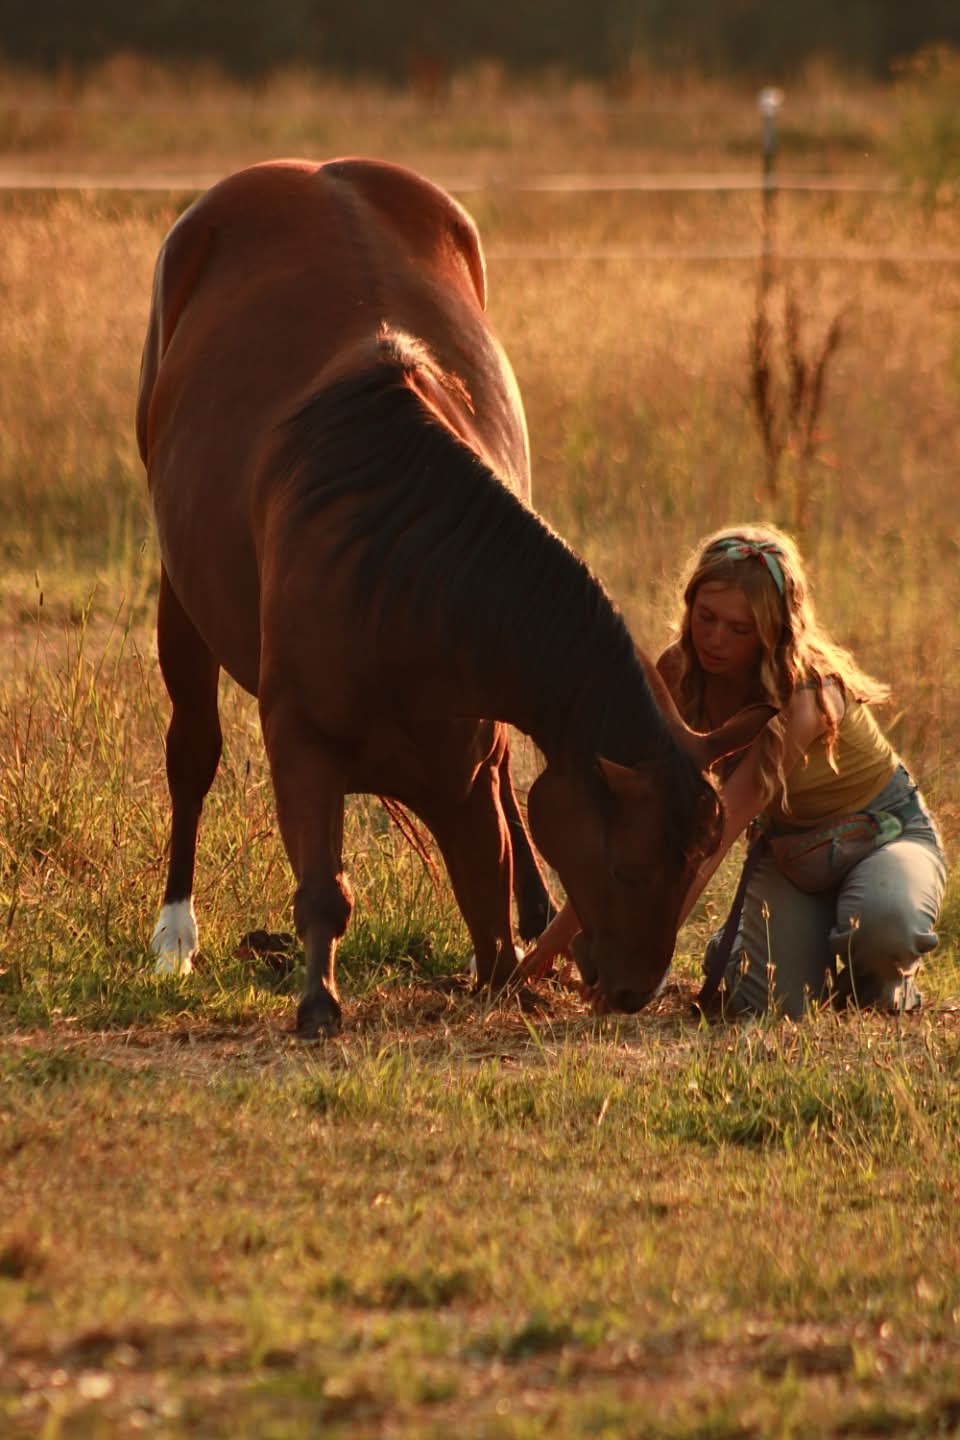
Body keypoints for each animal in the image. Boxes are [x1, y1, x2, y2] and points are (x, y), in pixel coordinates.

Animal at [137, 157, 769, 1038]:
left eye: (701, 857)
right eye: (628, 866)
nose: (634, 990)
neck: (396, 584)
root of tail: (310, 171)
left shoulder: (464, 775)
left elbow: (490, 900)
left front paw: (515, 962)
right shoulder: (300, 742)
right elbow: (324, 888)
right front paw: (317, 1003)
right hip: (181, 603)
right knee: (192, 754)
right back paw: (174, 936)